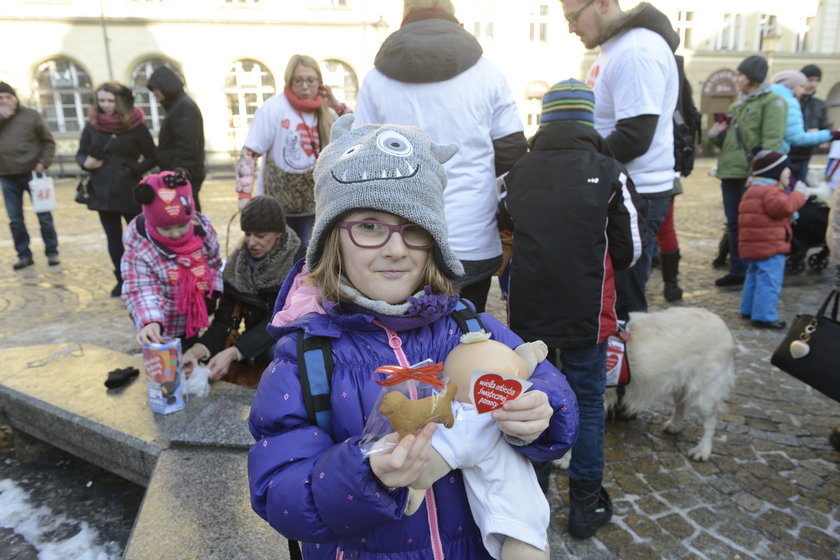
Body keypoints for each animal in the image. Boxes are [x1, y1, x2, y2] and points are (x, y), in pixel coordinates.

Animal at [556, 306, 736, 464]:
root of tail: (721, 323)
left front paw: (564, 460)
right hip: (680, 381)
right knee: (681, 404)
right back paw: (674, 425)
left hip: (704, 390)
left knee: (710, 420)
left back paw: (702, 450)